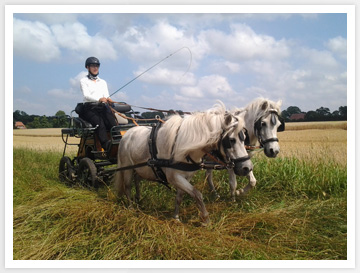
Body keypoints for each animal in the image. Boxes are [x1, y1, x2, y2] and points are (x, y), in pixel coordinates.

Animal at [113, 102, 253, 223]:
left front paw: (176, 217)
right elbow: (197, 194)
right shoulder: (174, 177)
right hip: (127, 168)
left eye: (244, 138)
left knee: (137, 180)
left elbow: (180, 197)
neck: (184, 147)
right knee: (127, 186)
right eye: (231, 140)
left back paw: (138, 200)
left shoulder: (186, 176)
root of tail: (127, 134)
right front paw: (206, 219)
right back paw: (131, 207)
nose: (247, 168)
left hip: (141, 169)